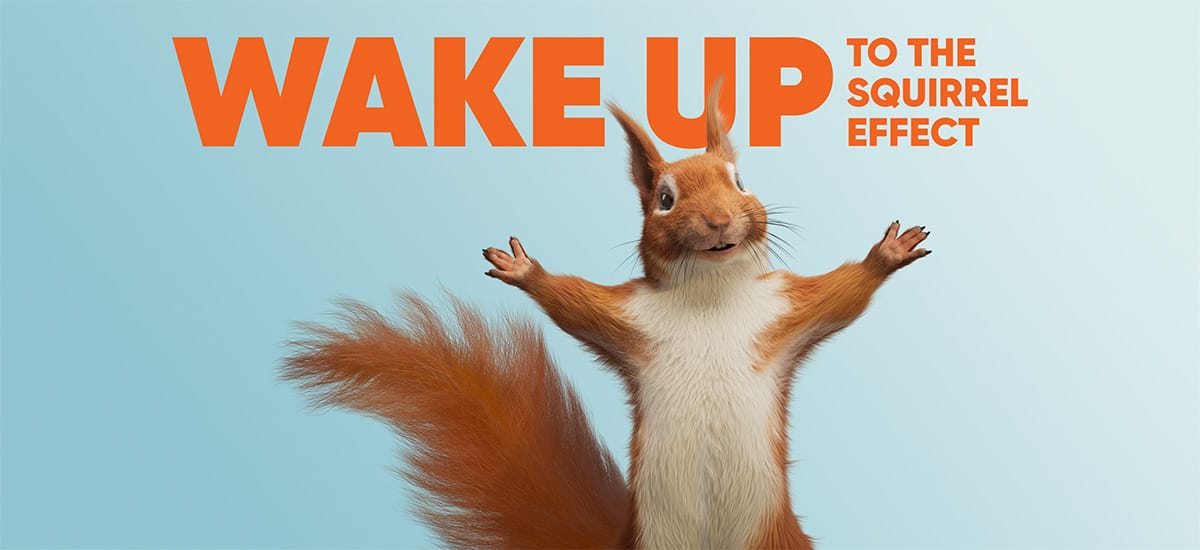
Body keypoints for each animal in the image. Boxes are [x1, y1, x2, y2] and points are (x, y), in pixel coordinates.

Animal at [283, 88, 931, 549]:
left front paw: (886, 254)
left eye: (742, 181)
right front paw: (527, 271)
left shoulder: (786, 311)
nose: (720, 220)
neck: (711, 296)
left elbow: (842, 296)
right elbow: (574, 303)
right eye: (664, 199)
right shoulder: (628, 319)